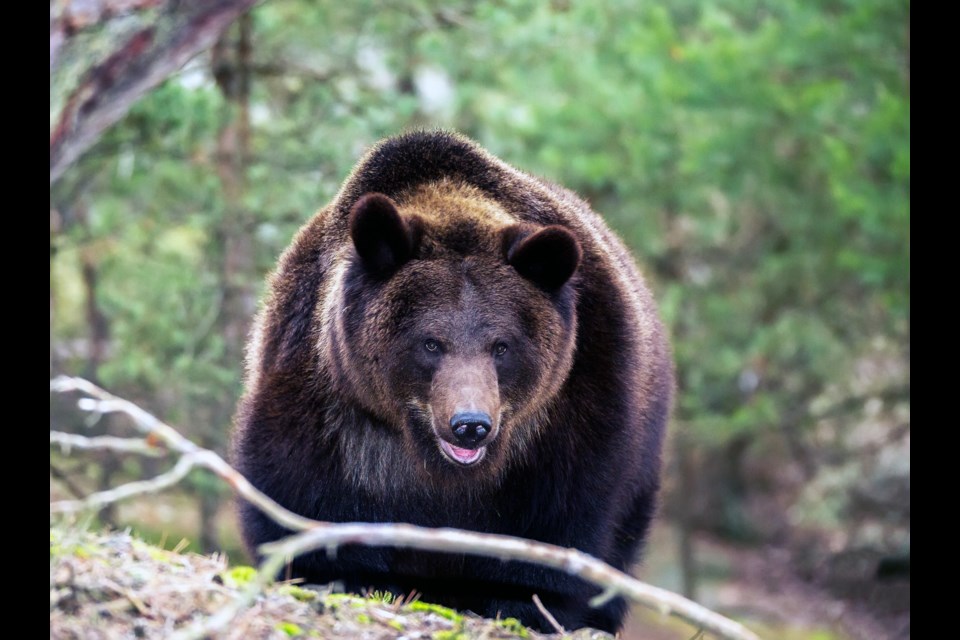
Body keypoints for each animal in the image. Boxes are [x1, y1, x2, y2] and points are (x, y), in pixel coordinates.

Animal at [229, 131, 672, 636]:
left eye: (501, 345)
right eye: (430, 342)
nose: (470, 424)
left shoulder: (574, 404)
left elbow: (562, 521)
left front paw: (529, 603)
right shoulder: (325, 402)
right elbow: (300, 500)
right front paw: (343, 573)